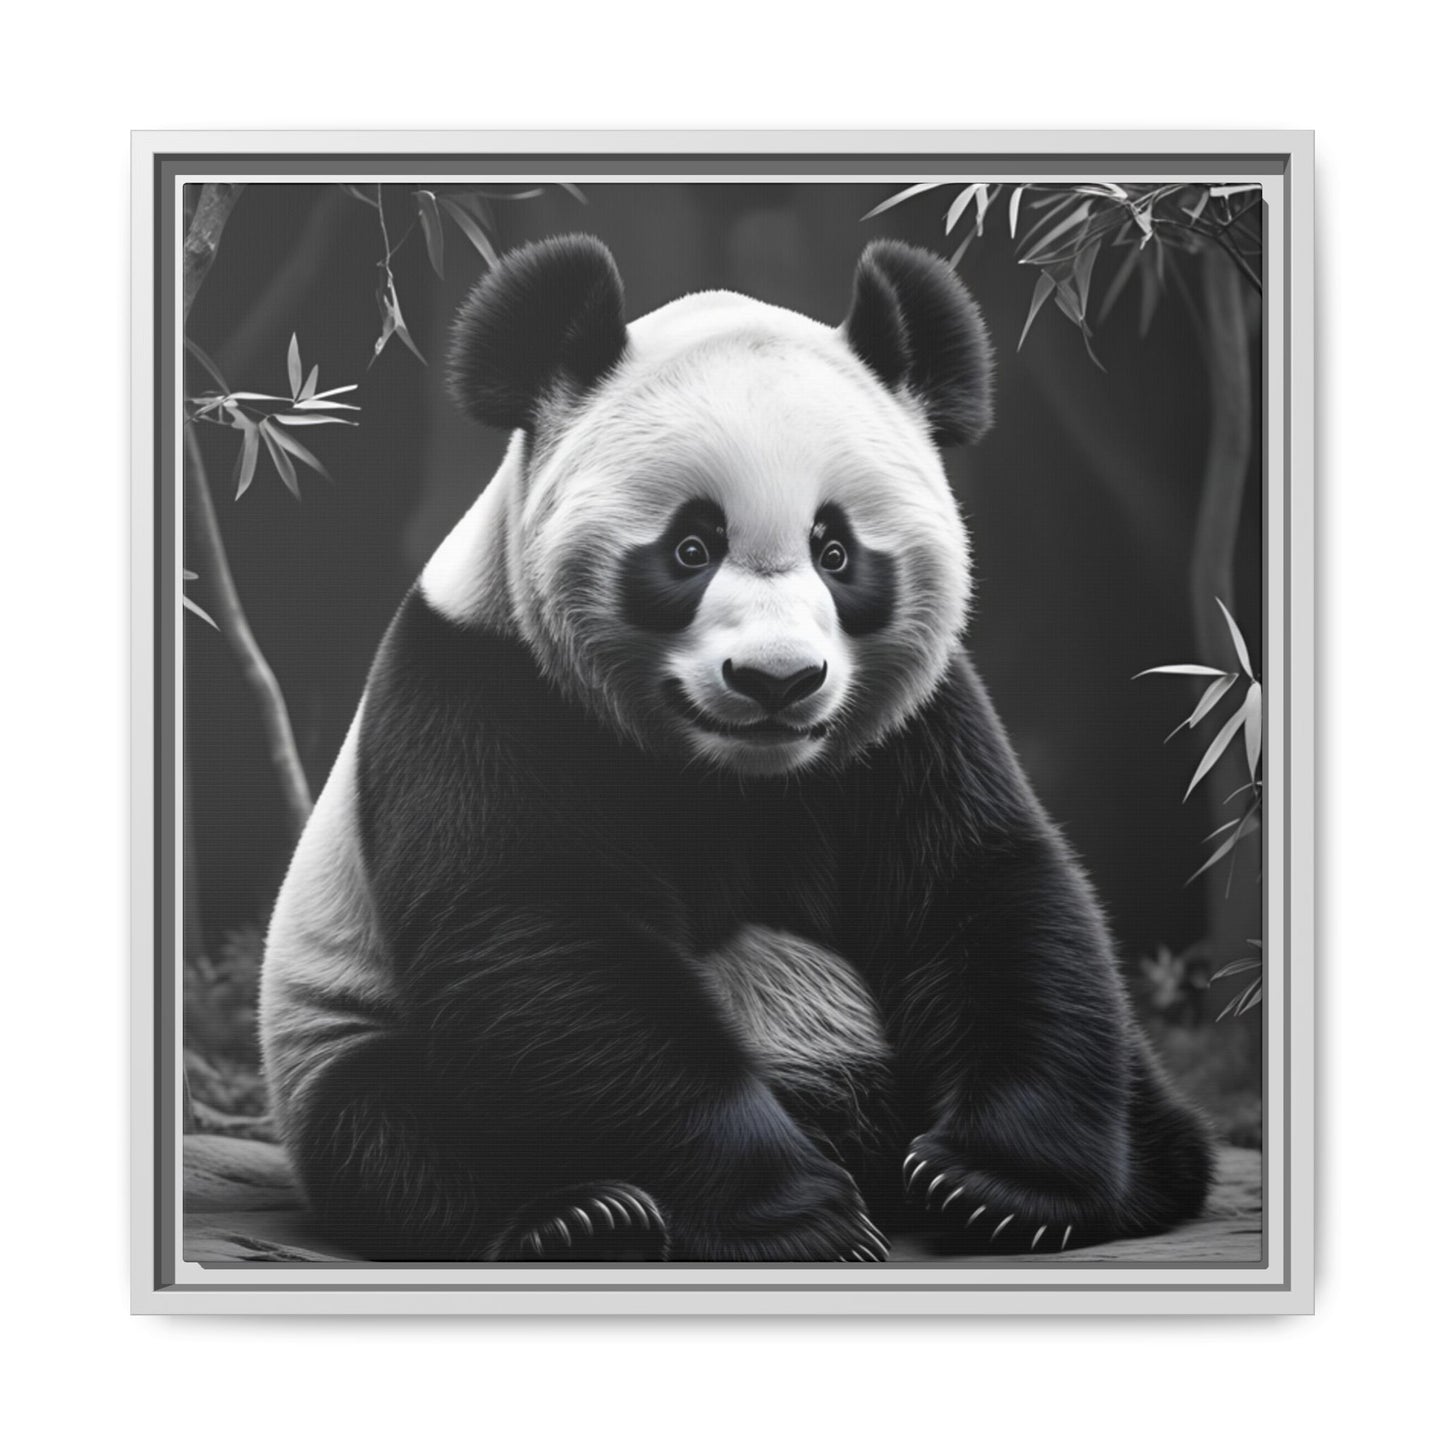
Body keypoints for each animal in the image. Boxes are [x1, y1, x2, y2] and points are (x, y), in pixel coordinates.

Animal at [259, 234, 1214, 1262]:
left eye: (836, 550)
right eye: (690, 547)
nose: (776, 680)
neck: (733, 777)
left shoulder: (911, 726)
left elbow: (983, 889)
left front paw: (995, 1186)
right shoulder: (485, 690)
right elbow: (541, 938)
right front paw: (800, 1214)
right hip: (336, 1033)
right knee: (398, 1131)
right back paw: (581, 1218)